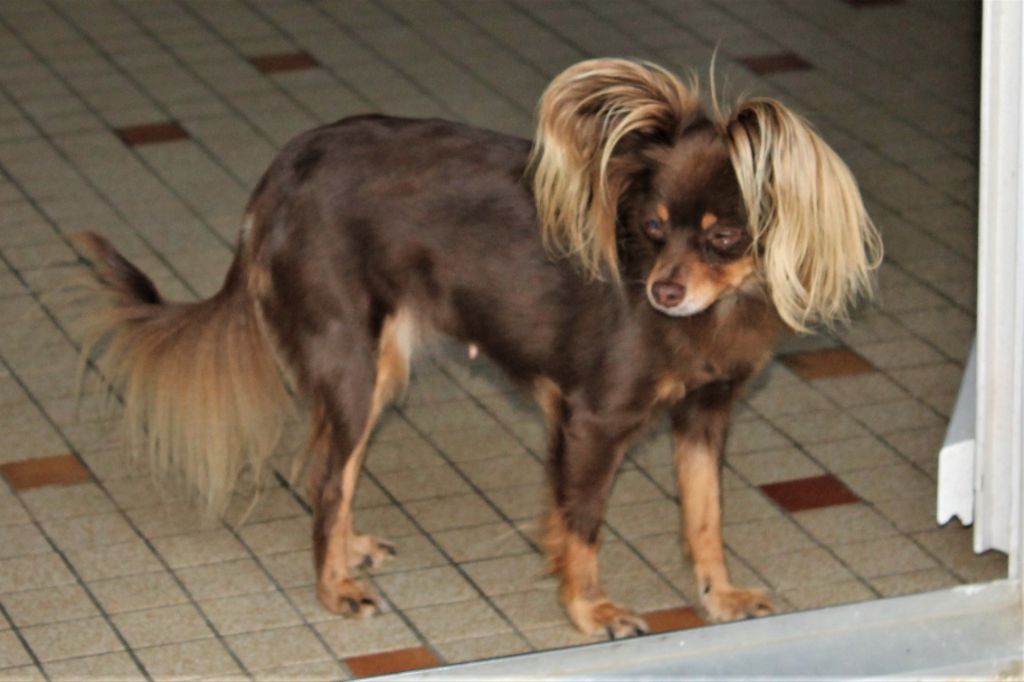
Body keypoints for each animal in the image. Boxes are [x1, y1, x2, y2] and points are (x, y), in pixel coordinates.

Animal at [74, 58, 881, 638]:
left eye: (725, 236)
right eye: (652, 227)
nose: (663, 292)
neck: (716, 312)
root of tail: (281, 174)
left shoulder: (705, 419)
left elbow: (705, 515)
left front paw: (719, 596)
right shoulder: (591, 423)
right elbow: (581, 525)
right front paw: (590, 610)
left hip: (379, 366)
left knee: (331, 471)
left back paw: (348, 548)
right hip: (352, 363)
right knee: (326, 478)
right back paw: (334, 587)